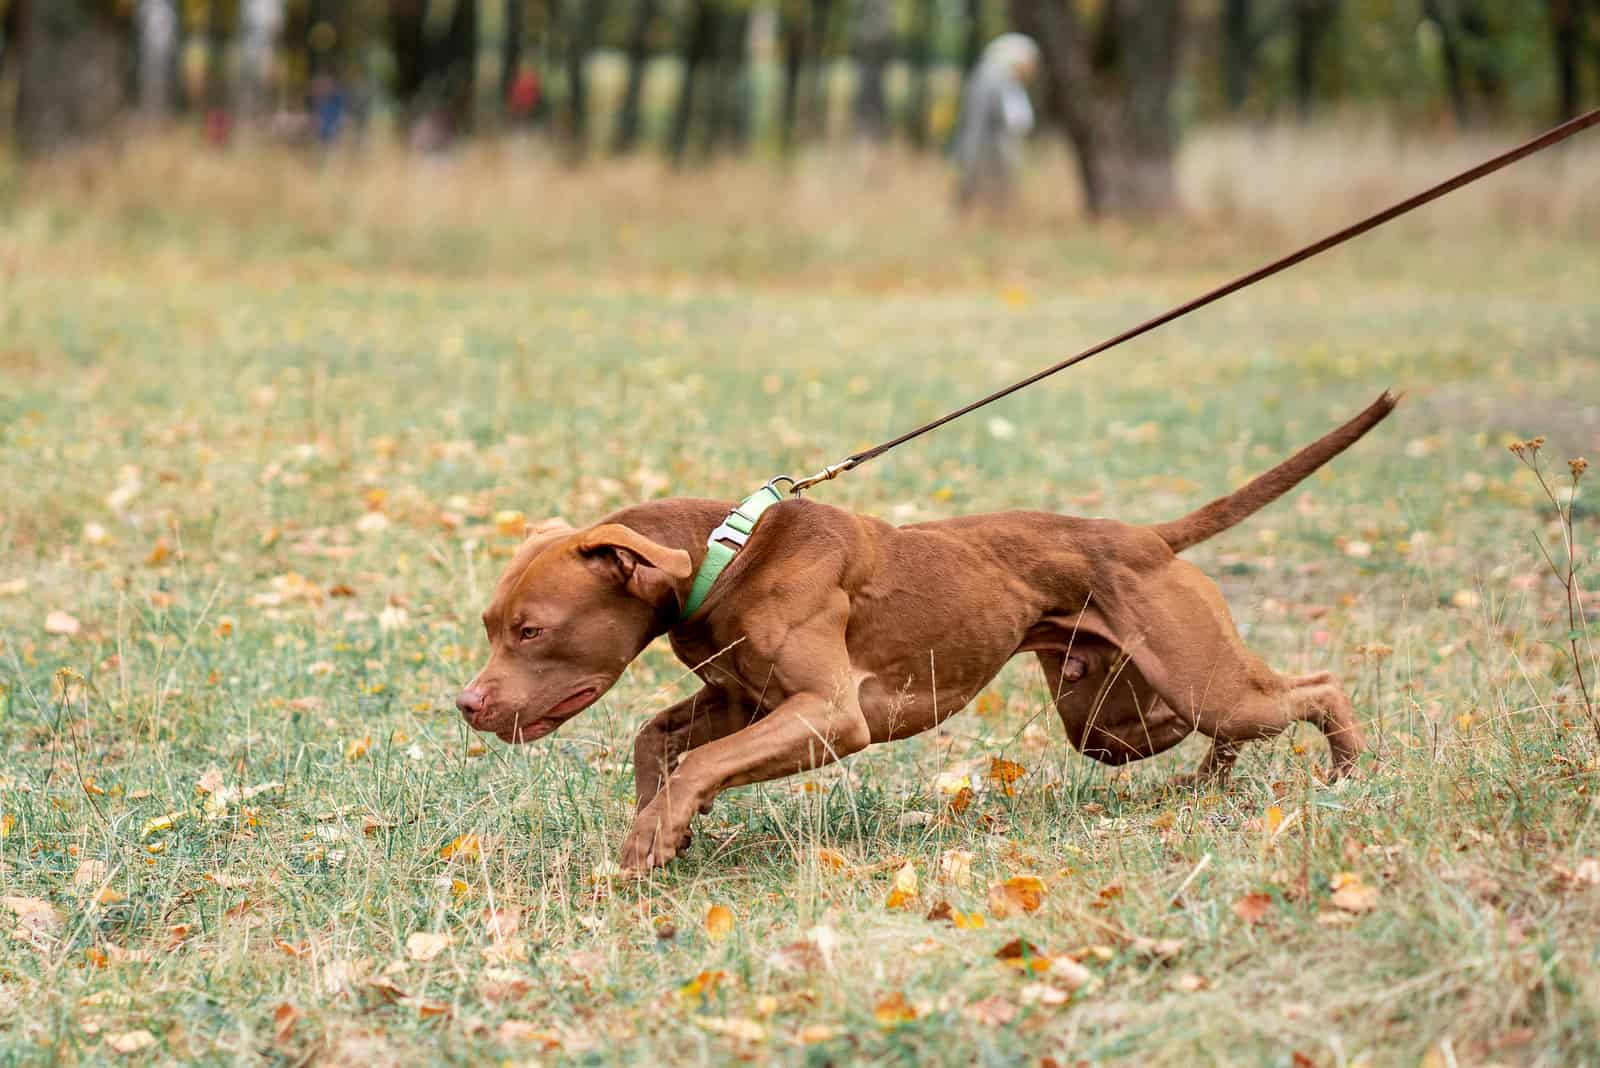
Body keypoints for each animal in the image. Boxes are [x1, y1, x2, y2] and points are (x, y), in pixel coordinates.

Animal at [457, 391, 1395, 869]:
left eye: (531, 631)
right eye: (492, 625)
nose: (467, 704)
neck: (724, 557)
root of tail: (1146, 538)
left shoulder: (830, 715)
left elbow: (698, 762)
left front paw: (657, 831)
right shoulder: (741, 701)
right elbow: (659, 742)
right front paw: (665, 830)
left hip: (1198, 680)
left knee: (1310, 688)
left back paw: (1348, 772)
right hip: (1112, 719)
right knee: (1211, 723)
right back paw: (1205, 782)